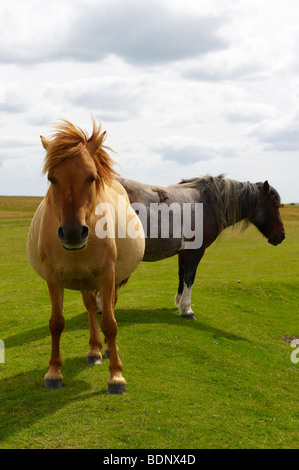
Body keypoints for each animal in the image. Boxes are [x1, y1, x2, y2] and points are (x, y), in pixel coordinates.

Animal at [27, 119, 145, 392]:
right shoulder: (54, 278)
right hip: (84, 281)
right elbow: (56, 323)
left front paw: (116, 375)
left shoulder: (107, 275)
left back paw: (110, 351)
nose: (72, 233)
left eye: (91, 177)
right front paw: (54, 372)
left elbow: (110, 324)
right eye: (52, 178)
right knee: (91, 307)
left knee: (107, 308)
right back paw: (94, 350)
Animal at [96, 175, 286, 320]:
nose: (282, 236)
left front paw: (179, 303)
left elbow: (181, 275)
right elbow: (190, 276)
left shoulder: (183, 252)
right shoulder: (196, 251)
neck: (209, 202)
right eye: (275, 205)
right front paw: (187, 309)